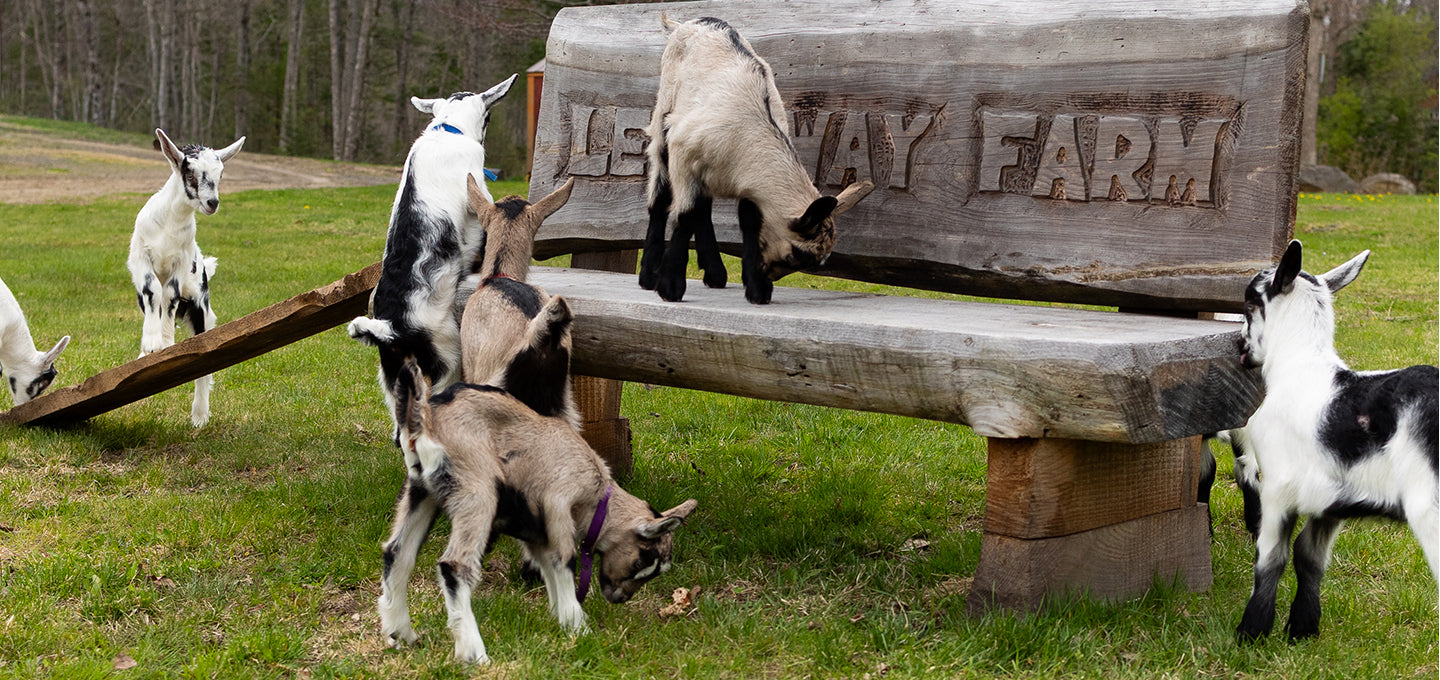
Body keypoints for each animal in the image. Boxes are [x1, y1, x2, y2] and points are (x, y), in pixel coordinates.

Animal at [128, 128, 243, 427]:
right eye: (190, 173)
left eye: (221, 174)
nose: (212, 203)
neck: (170, 223)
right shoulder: (140, 257)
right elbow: (153, 291)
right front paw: (149, 346)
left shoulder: (180, 265)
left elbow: (169, 296)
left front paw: (166, 342)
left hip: (203, 313)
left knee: (204, 367)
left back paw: (200, 415)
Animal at [347, 75, 517, 438]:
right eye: (489, 117)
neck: (447, 129)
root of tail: (389, 327)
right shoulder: (477, 195)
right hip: (447, 356)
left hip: (392, 373)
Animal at [379, 357, 697, 664]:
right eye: (641, 561)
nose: (619, 598)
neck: (598, 494)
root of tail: (426, 420)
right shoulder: (558, 501)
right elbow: (565, 560)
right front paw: (579, 626)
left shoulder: (537, 531)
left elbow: (549, 566)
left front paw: (562, 618)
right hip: (477, 493)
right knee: (454, 566)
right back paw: (473, 652)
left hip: (420, 493)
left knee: (397, 554)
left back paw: (401, 634)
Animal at [639, 15, 874, 304]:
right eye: (795, 256)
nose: (768, 275)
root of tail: (691, 22)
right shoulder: (684, 153)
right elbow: (685, 215)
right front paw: (670, 287)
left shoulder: (748, 183)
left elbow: (749, 221)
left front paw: (757, 289)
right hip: (664, 114)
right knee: (661, 195)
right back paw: (649, 275)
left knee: (703, 208)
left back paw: (715, 273)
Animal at [1234, 239, 1437, 642]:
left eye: (1249, 303)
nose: (1240, 347)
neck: (1298, 366)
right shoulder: (1330, 501)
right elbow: (1309, 557)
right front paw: (1302, 629)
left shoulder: (1277, 485)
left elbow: (1270, 558)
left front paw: (1250, 633)